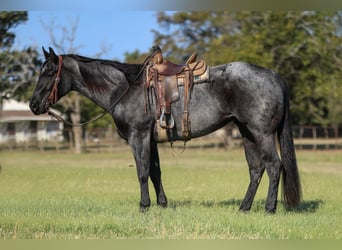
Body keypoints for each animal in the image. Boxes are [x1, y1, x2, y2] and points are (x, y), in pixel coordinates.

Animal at [30, 47, 302, 213]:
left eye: (49, 72)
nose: (33, 105)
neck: (125, 88)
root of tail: (273, 75)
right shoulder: (150, 140)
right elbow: (154, 172)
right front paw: (161, 204)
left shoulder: (138, 137)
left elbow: (141, 172)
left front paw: (144, 205)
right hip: (247, 133)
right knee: (256, 169)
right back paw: (244, 207)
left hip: (262, 134)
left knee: (274, 166)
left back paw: (269, 208)